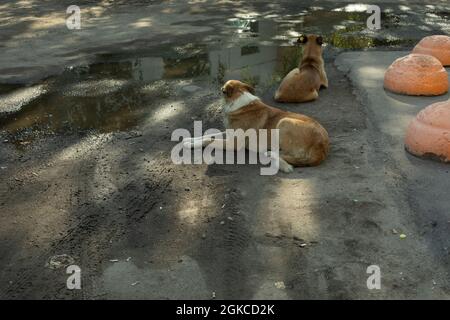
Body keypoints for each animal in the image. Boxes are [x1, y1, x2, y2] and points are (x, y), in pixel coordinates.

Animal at [184, 81, 330, 174]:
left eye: (221, 91)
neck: (240, 103)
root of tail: (322, 147)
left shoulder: (234, 143)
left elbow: (209, 140)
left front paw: (191, 144)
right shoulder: (229, 134)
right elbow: (208, 135)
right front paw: (190, 141)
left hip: (284, 122)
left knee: (287, 156)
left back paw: (276, 160)